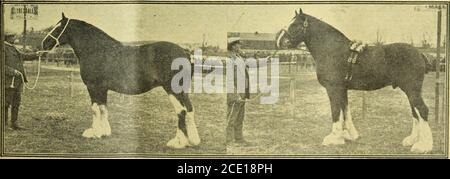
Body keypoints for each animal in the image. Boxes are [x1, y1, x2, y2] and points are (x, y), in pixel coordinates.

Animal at [42, 13, 200, 149]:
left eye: (58, 28)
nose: (44, 44)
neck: (96, 49)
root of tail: (185, 52)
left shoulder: (93, 87)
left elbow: (95, 109)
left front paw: (95, 133)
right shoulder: (102, 88)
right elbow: (103, 108)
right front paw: (105, 132)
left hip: (172, 89)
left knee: (181, 111)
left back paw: (179, 142)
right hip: (182, 91)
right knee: (189, 109)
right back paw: (193, 140)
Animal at [276, 9, 434, 153]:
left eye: (295, 24)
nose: (279, 40)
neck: (331, 50)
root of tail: (419, 53)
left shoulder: (333, 88)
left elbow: (335, 112)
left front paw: (334, 138)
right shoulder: (342, 89)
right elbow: (346, 111)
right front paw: (351, 135)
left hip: (411, 89)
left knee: (422, 110)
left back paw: (423, 146)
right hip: (409, 90)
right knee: (415, 112)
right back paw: (412, 140)